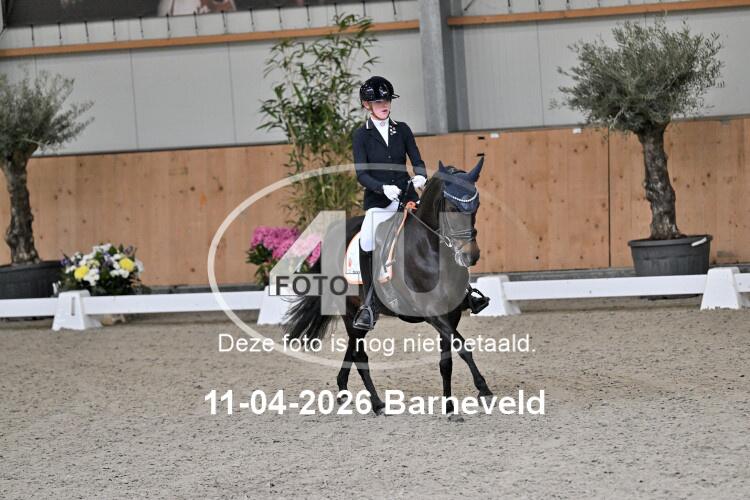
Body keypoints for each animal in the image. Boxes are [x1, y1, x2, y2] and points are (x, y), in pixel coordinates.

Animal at [282, 157, 493, 418]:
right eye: (452, 208)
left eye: (476, 206)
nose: (470, 256)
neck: (431, 251)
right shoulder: (432, 313)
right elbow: (463, 348)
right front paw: (483, 390)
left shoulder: (450, 314)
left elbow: (447, 361)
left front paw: (450, 405)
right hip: (349, 309)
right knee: (359, 354)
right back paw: (377, 403)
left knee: (352, 347)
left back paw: (343, 389)